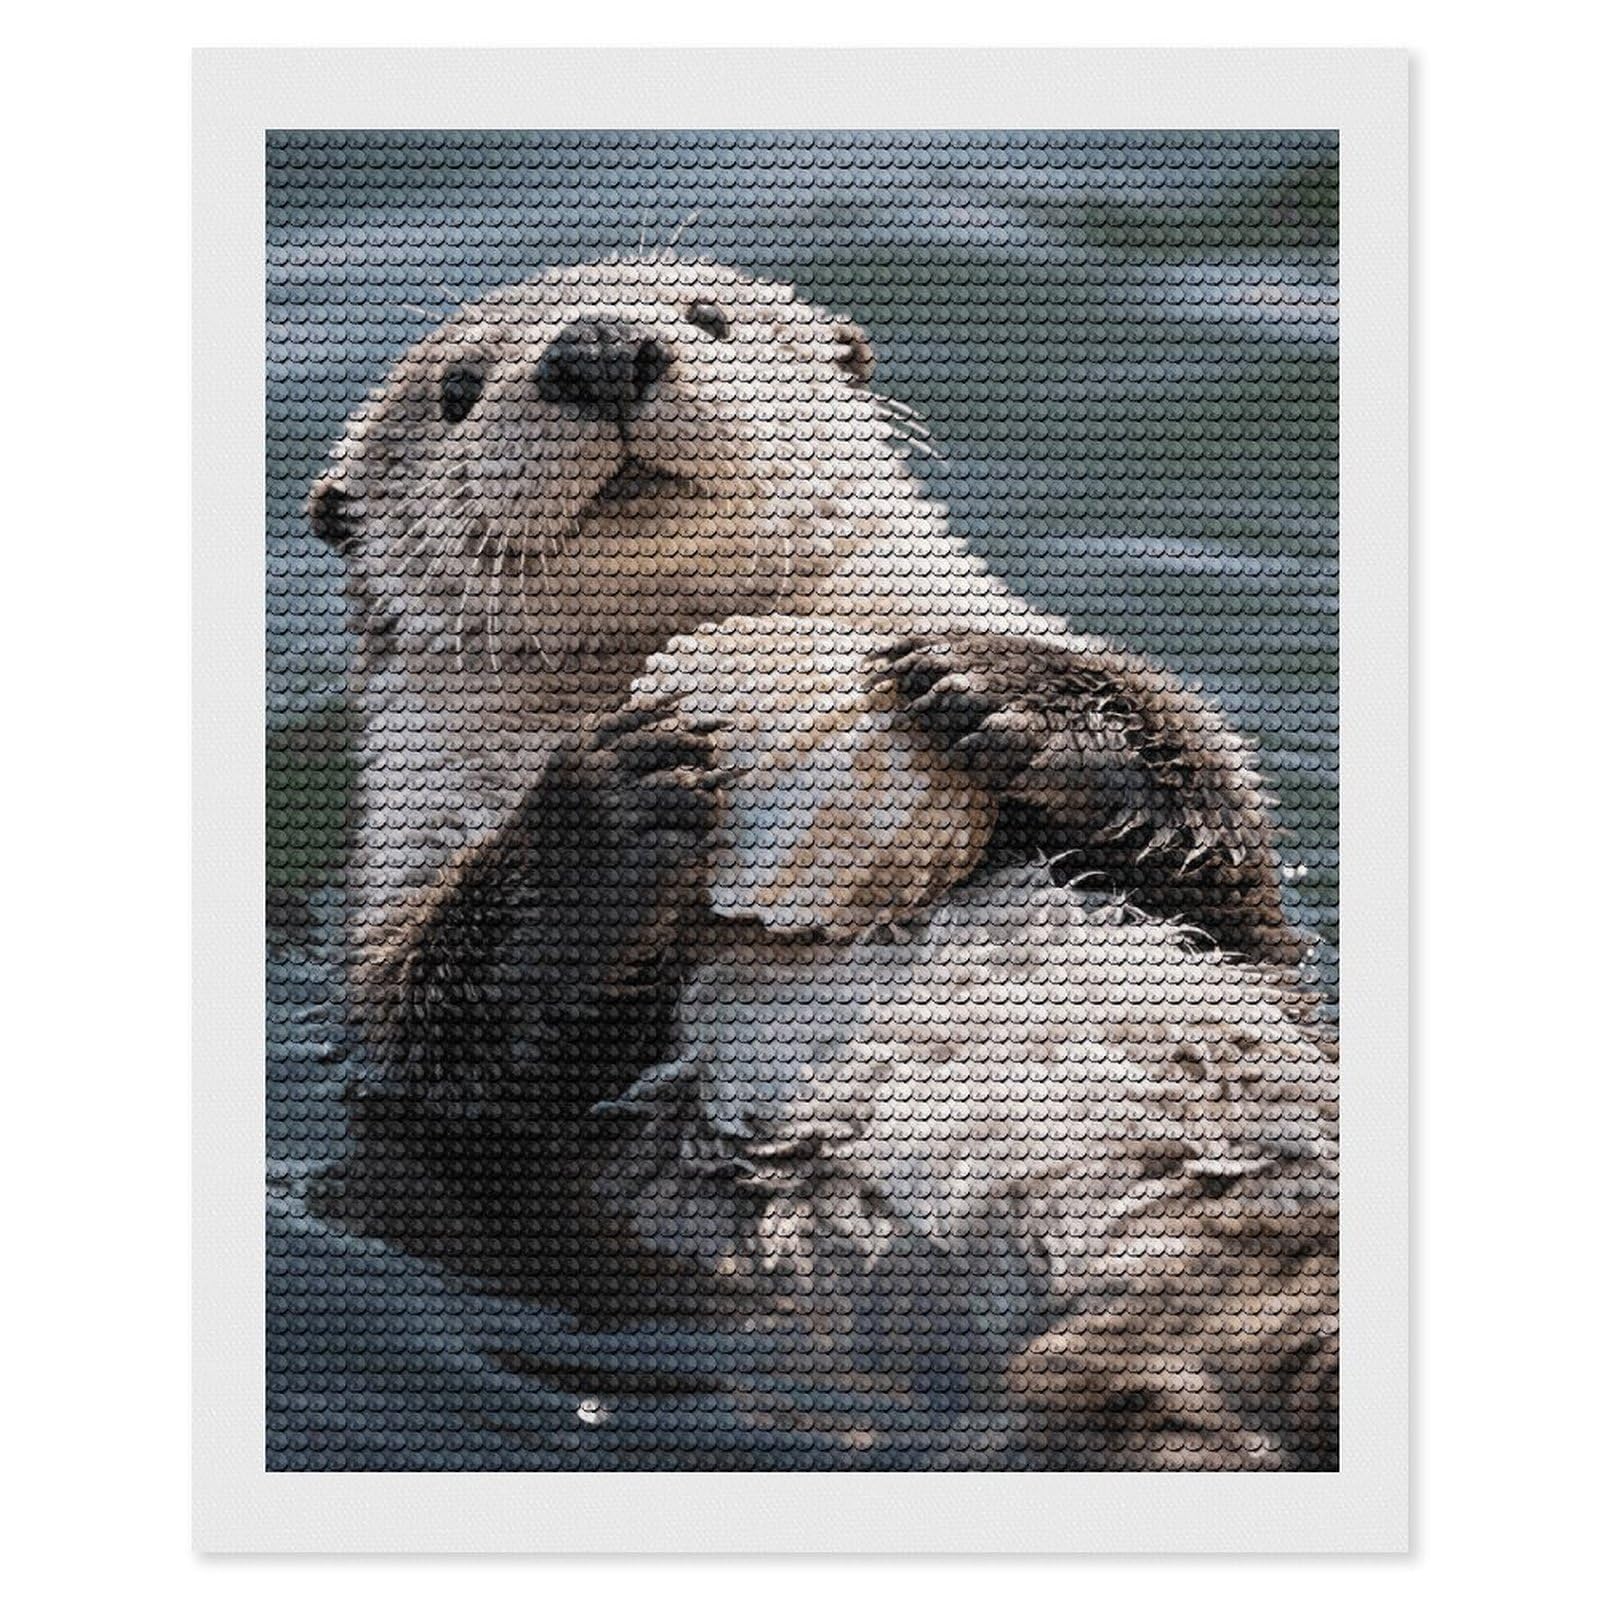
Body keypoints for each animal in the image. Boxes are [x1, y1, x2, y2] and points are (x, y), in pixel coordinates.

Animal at [305, 257, 1333, 1466]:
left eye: (709, 318)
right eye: (457, 391)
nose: (598, 348)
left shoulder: (1257, 945)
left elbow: (1235, 880)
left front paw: (1011, 697)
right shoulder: (400, 894)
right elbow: (443, 1052)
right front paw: (605, 808)